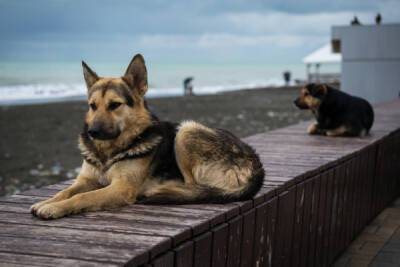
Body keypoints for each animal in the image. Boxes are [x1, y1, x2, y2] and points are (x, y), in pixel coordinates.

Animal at [29, 54, 264, 220]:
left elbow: (83, 196)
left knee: (193, 186)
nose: (92, 132)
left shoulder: (121, 188)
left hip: (186, 130)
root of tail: (256, 163)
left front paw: (54, 208)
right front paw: (47, 202)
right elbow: (66, 191)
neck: (108, 152)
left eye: (114, 105)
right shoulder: (86, 180)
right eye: (92, 106)